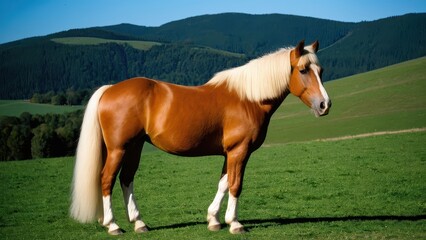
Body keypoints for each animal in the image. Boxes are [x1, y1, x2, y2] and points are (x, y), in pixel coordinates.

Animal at [70, 39, 332, 234]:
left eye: (320, 70)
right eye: (303, 70)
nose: (325, 105)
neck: (248, 98)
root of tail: (110, 89)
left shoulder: (229, 153)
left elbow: (223, 183)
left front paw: (214, 220)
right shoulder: (240, 150)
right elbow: (236, 184)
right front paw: (235, 223)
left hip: (134, 146)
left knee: (126, 179)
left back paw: (139, 223)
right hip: (119, 148)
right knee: (107, 179)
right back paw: (113, 225)